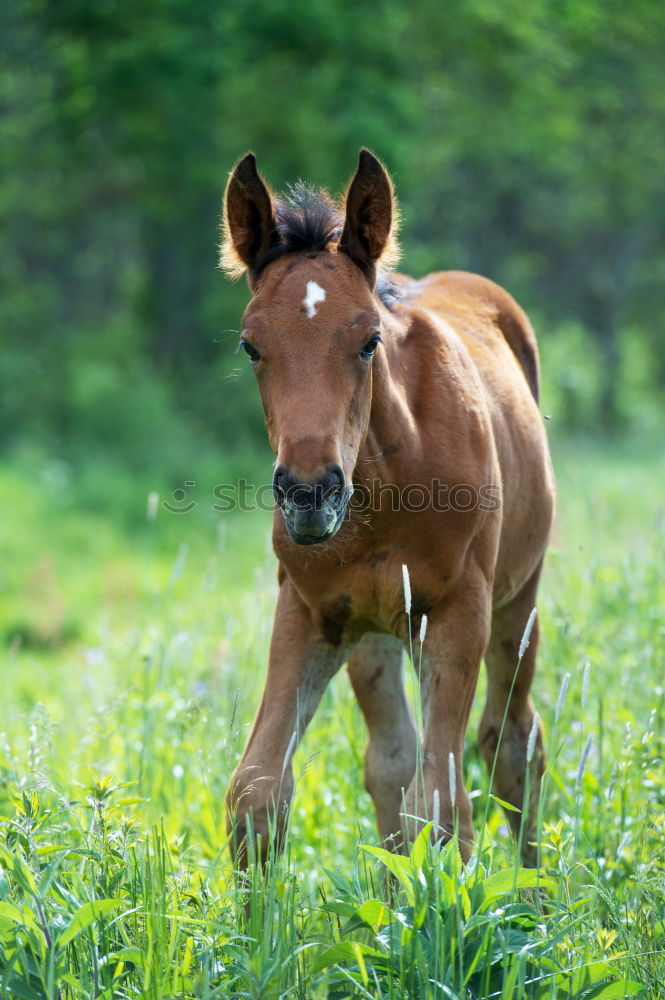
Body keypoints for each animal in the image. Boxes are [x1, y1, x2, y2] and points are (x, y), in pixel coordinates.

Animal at [220, 148, 552, 868]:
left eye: (370, 339)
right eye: (251, 345)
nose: (310, 493)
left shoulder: (458, 611)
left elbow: (443, 805)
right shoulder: (310, 611)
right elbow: (256, 791)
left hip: (516, 600)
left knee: (512, 742)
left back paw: (536, 884)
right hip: (373, 632)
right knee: (391, 761)